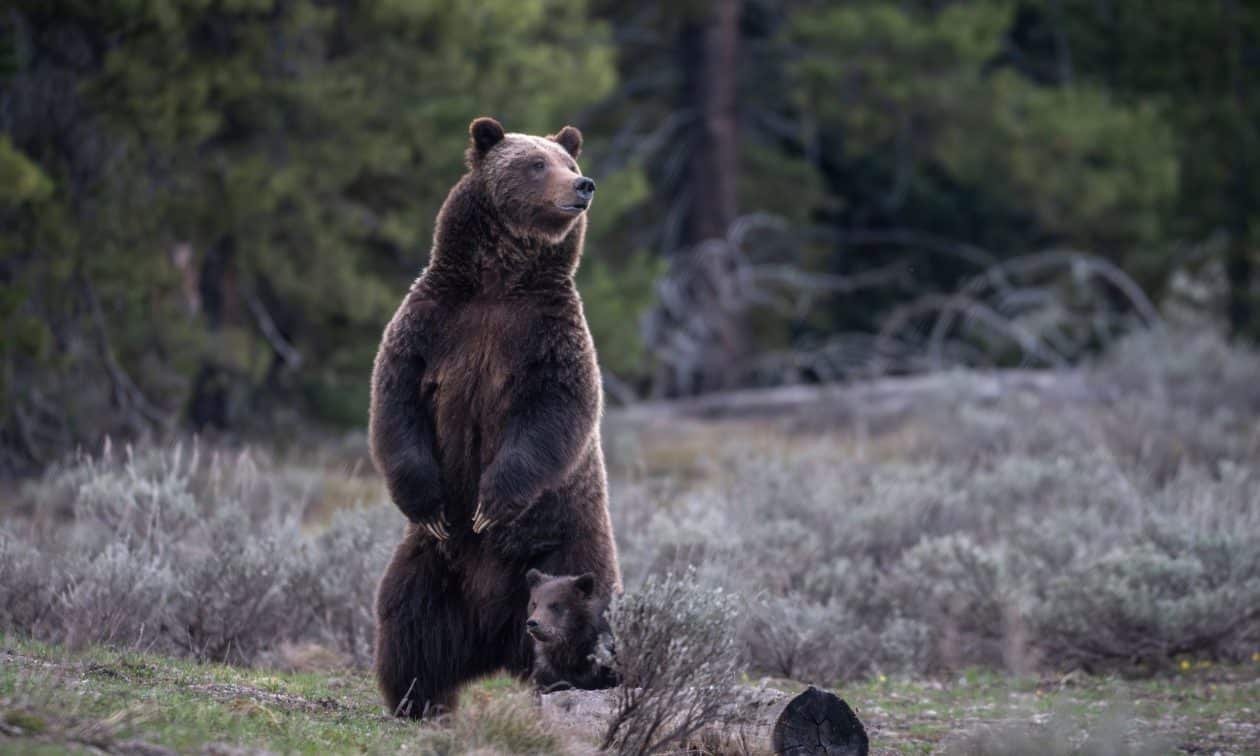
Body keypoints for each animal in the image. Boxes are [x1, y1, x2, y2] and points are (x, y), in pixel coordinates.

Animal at [367, 115, 622, 715]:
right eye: (536, 163)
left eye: (569, 162)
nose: (584, 186)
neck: (498, 282)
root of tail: (494, 637)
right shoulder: (433, 323)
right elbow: (396, 403)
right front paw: (432, 503)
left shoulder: (549, 337)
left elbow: (554, 414)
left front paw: (491, 503)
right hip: (434, 566)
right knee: (408, 620)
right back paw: (417, 699)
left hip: (570, 547)